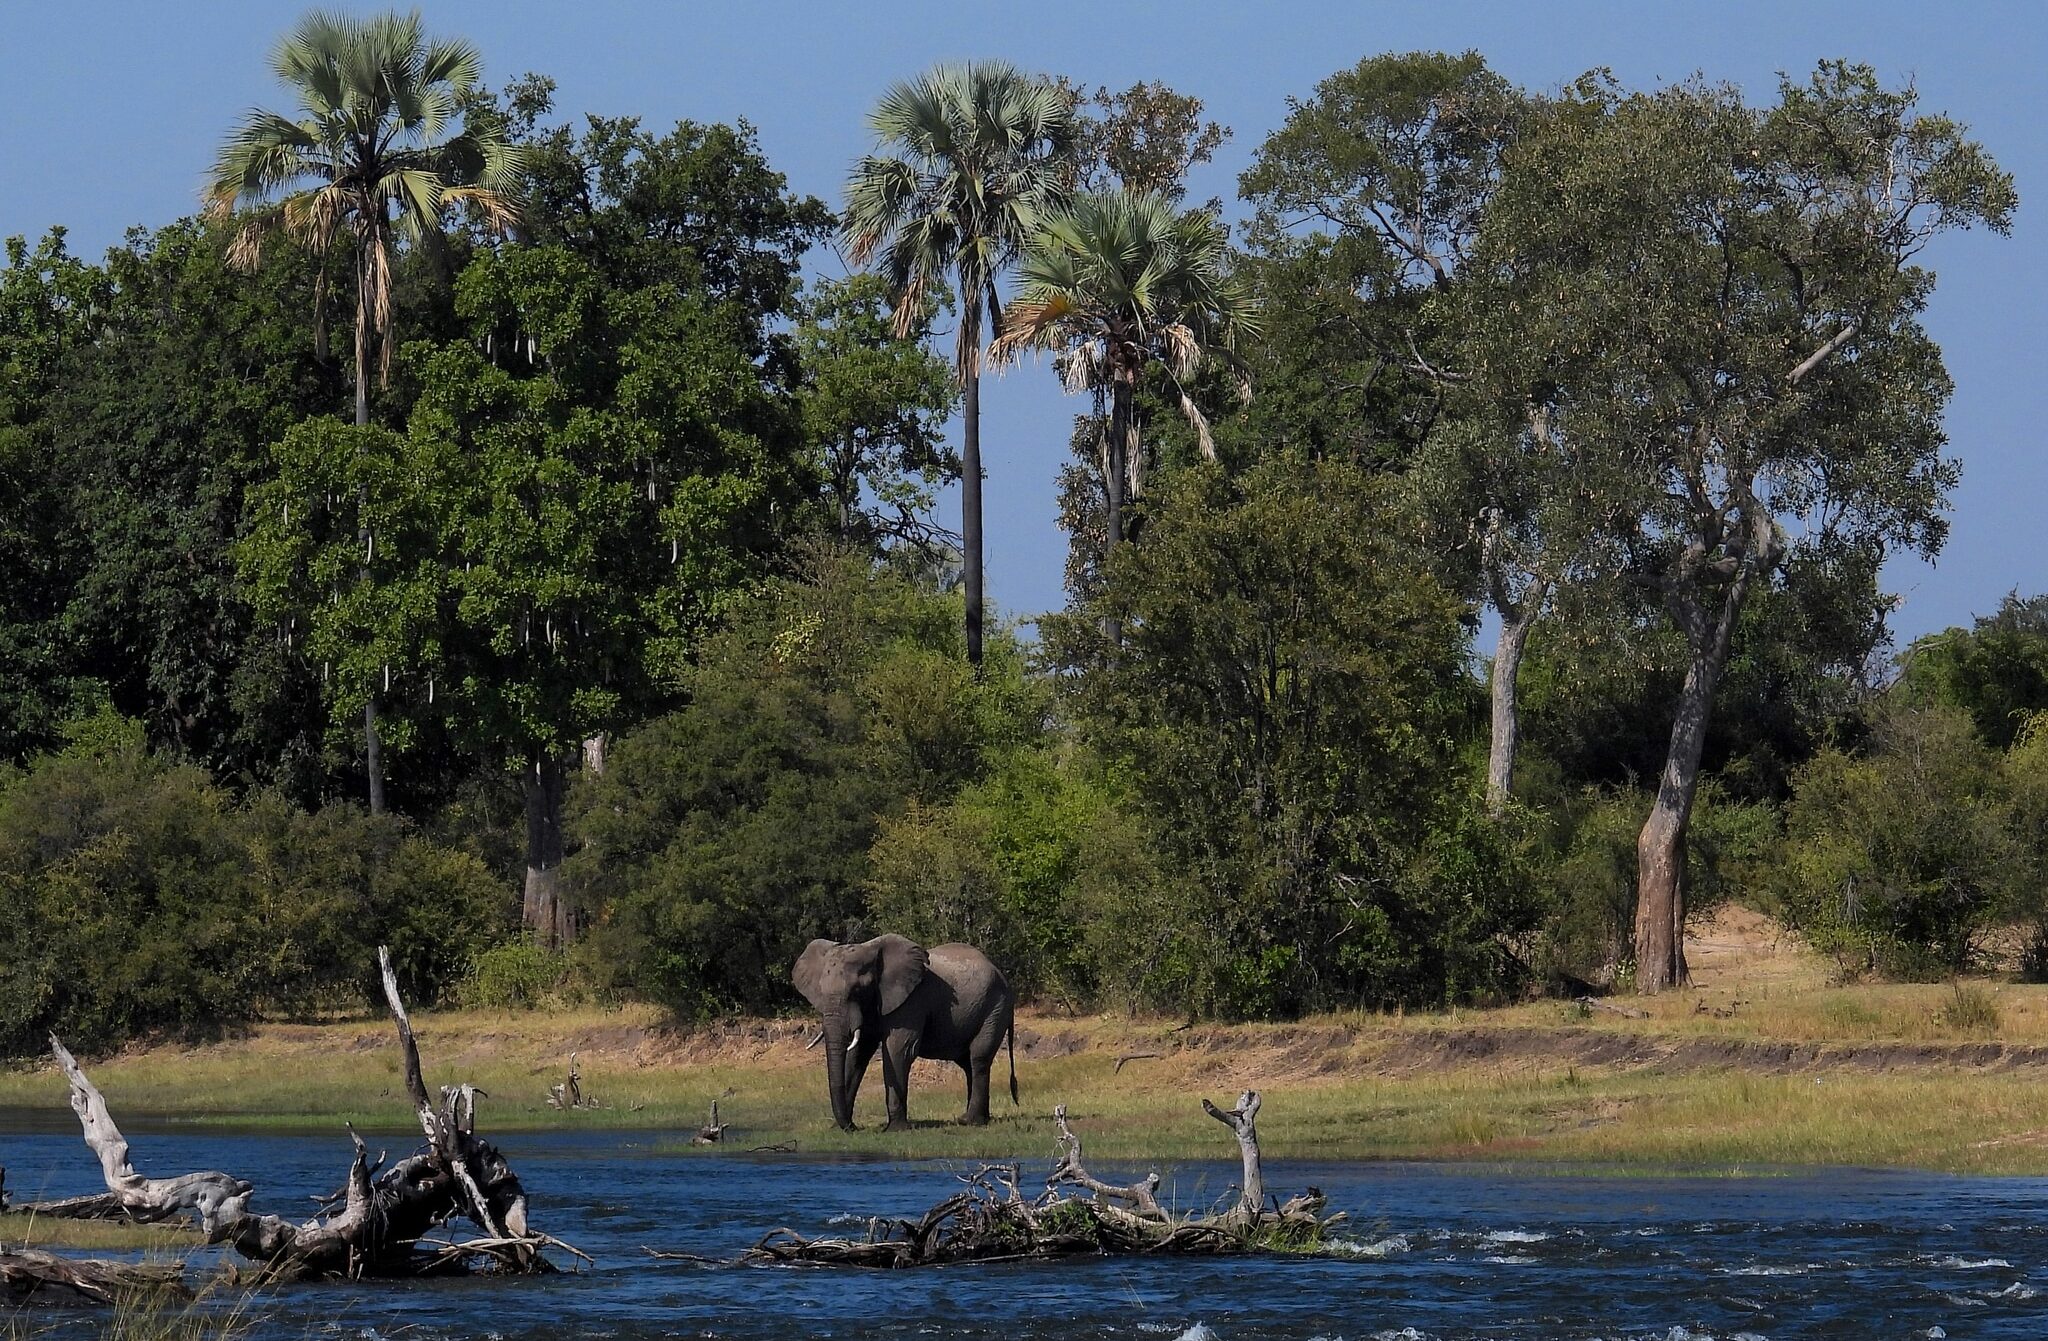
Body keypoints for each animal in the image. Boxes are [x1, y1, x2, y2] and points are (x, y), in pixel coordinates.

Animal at [791, 934, 1017, 1130]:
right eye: (820, 991)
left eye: (858, 990)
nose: (854, 1127)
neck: (871, 950)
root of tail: (1003, 976)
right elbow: (857, 1055)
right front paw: (839, 1127)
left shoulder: (911, 1000)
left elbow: (899, 1050)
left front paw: (895, 1129)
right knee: (967, 1063)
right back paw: (972, 1119)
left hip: (995, 1007)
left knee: (978, 1058)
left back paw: (971, 1121)